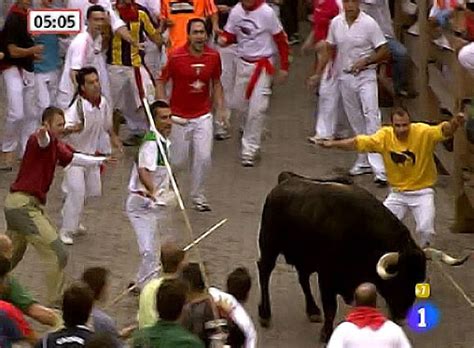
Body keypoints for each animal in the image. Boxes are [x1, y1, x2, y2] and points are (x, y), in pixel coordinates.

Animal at [258, 172, 468, 342]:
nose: (401, 317)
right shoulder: (327, 277)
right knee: (264, 271)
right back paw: (265, 314)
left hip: (304, 257)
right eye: (400, 280)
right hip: (269, 246)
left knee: (302, 277)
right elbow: (331, 307)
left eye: (418, 280)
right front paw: (326, 334)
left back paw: (312, 311)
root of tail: (285, 180)